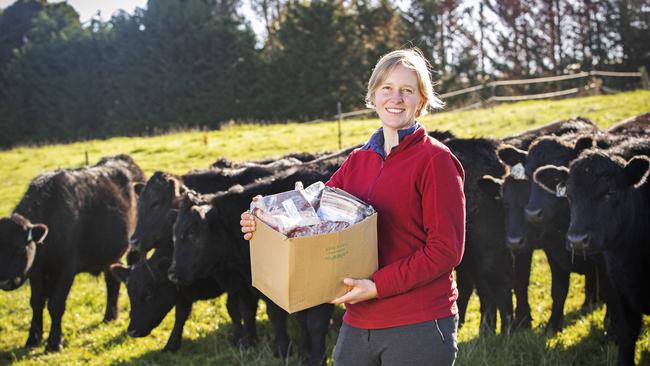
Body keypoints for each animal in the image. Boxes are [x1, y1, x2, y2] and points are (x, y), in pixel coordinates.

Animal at [0, 155, 143, 352]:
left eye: (20, 248)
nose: (4, 282)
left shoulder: (66, 269)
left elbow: (56, 304)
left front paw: (54, 342)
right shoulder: (36, 271)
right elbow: (36, 302)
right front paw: (33, 339)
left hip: (136, 248)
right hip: (110, 254)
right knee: (112, 280)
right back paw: (109, 317)